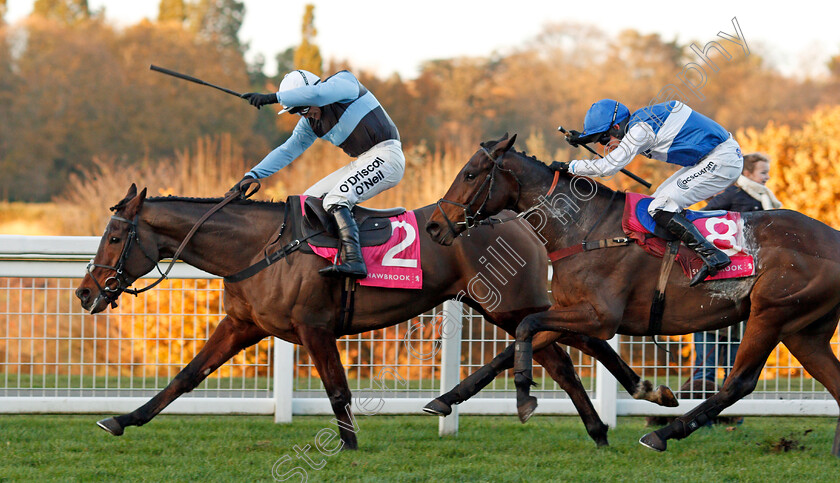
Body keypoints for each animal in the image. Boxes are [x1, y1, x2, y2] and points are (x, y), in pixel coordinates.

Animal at [72, 184, 676, 450]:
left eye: (116, 236)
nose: (84, 292)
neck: (260, 247)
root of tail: (519, 218)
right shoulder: (244, 325)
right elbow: (186, 376)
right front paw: (122, 418)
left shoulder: (313, 327)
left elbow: (337, 388)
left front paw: (348, 446)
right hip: (501, 307)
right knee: (564, 353)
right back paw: (610, 420)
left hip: (508, 304)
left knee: (564, 353)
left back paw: (622, 411)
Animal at [430, 133, 840, 458]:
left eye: (470, 174)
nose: (434, 226)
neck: (585, 228)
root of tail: (832, 237)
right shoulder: (575, 311)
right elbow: (516, 343)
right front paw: (444, 400)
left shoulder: (599, 316)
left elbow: (527, 327)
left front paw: (524, 396)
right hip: (804, 330)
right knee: (833, 381)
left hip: (772, 313)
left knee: (738, 383)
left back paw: (662, 434)